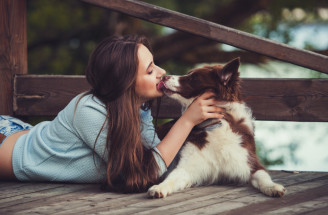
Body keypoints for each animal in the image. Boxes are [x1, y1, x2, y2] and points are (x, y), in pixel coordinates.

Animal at [147, 57, 286, 198]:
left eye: (193, 78)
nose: (164, 76)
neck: (214, 125)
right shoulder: (186, 167)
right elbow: (172, 177)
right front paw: (159, 187)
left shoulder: (250, 162)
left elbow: (262, 176)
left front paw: (273, 187)